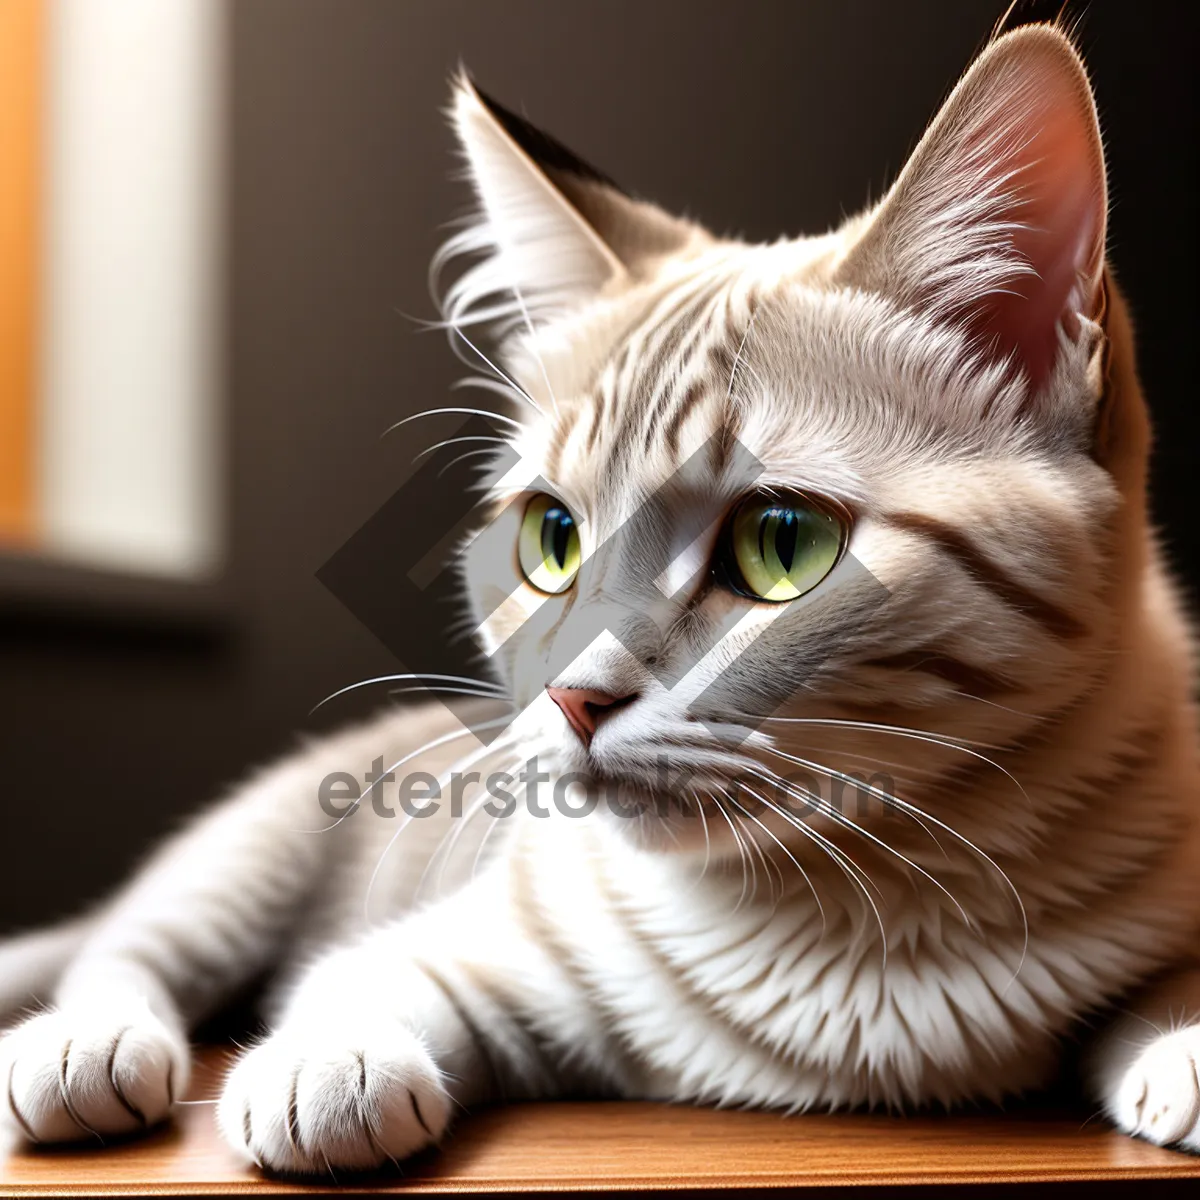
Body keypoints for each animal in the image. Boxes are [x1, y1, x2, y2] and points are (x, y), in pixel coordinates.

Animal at [2, 21, 1200, 1171]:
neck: (849, 917)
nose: (575, 698)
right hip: (244, 862)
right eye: (553, 537)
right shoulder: (476, 944)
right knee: (122, 953)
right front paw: (328, 1064)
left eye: (782, 545)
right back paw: (82, 1044)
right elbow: (361, 982)